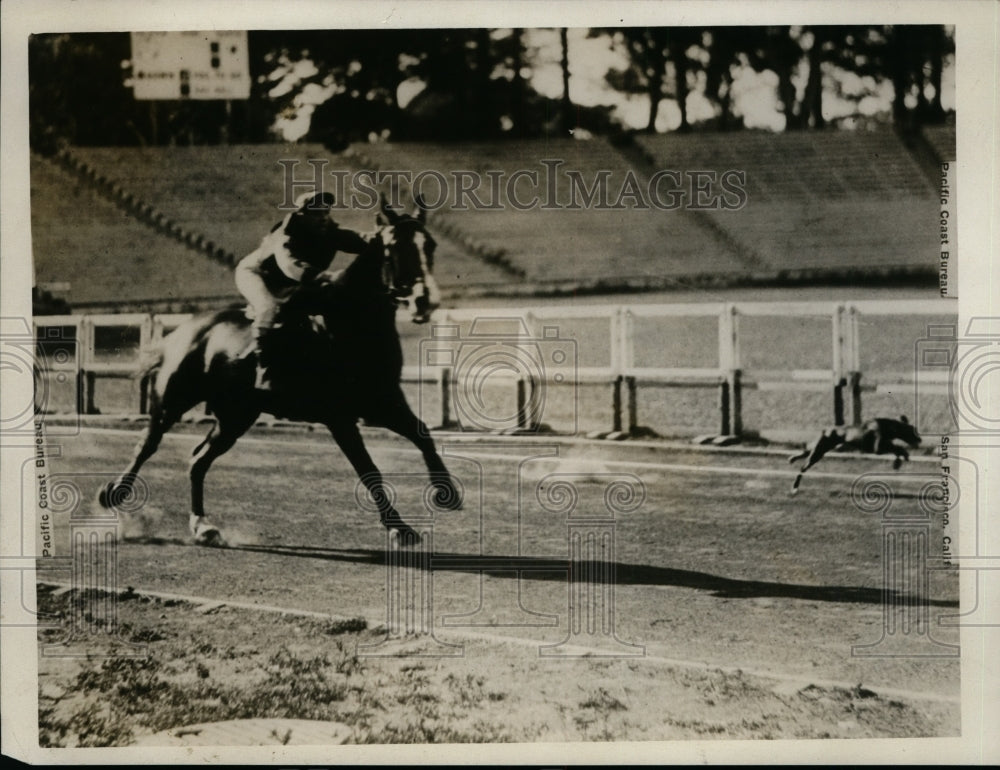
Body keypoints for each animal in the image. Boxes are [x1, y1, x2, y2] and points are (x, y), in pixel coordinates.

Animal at [99, 195, 458, 544]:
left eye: (429, 245)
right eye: (392, 247)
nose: (424, 300)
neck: (349, 323)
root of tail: (185, 331)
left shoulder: (384, 403)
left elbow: (423, 435)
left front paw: (447, 493)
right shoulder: (340, 418)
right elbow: (369, 469)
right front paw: (399, 528)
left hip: (235, 417)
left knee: (198, 460)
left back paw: (203, 527)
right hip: (173, 401)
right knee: (147, 445)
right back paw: (114, 496)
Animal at [788, 414, 920, 492]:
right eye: (912, 430)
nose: (920, 439)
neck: (889, 426)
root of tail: (826, 430)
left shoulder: (884, 445)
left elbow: (896, 449)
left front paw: (898, 462)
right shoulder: (878, 448)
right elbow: (898, 448)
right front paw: (902, 458)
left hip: (820, 450)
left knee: (805, 452)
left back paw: (792, 458)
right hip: (818, 452)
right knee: (802, 468)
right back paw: (794, 488)